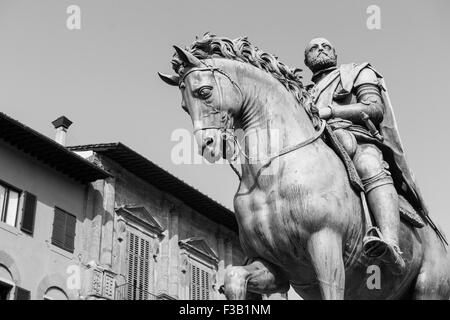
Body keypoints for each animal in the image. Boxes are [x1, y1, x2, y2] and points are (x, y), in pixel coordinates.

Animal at [159, 35, 450, 300]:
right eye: (184, 106)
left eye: (204, 92)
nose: (208, 145)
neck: (271, 176)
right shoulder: (275, 267)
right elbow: (233, 277)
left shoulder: (325, 246)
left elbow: (371, 106)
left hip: (429, 289)